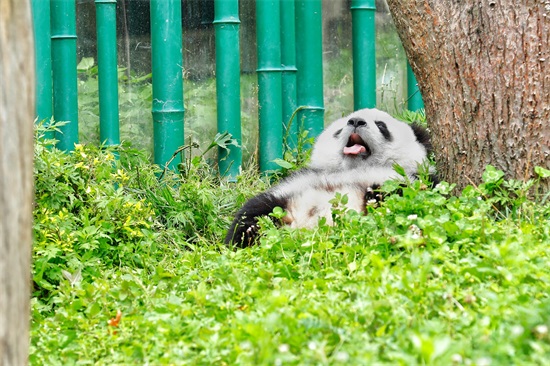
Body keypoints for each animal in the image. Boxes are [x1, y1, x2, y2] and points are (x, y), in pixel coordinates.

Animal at [225, 107, 440, 247]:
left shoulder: (412, 178)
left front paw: (374, 196)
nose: (356, 121)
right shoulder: (301, 180)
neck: (355, 168)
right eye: (341, 127)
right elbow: (250, 209)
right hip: (284, 205)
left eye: (381, 125)